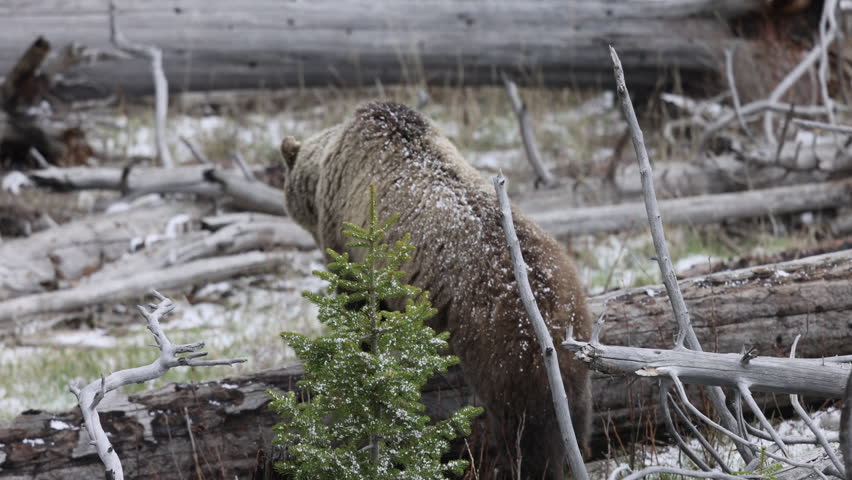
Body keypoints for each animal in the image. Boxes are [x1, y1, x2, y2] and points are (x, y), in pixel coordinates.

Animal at [280, 101, 592, 479]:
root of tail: (553, 304)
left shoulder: (347, 237)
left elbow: (358, 301)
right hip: (573, 351)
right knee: (575, 417)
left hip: (504, 345)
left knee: (522, 424)